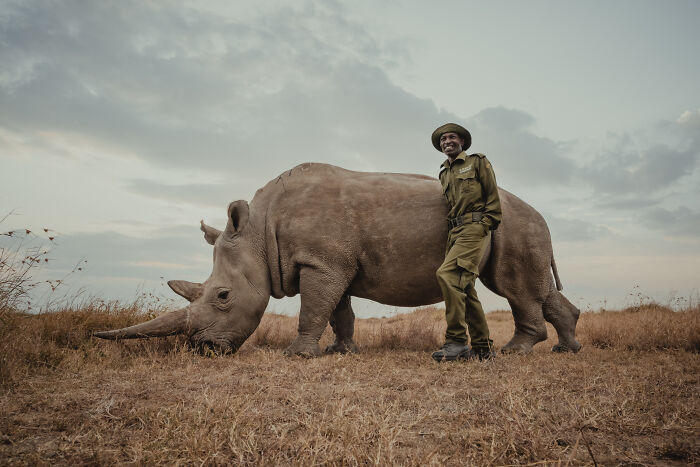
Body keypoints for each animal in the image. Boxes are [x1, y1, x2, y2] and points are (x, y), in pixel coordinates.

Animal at [95, 162, 581, 356]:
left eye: (223, 296)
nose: (204, 351)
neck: (258, 233)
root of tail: (537, 212)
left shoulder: (322, 262)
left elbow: (313, 309)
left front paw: (297, 356)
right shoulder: (330, 263)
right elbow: (338, 311)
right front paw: (340, 351)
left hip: (512, 225)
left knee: (514, 287)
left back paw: (517, 351)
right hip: (519, 227)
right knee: (531, 287)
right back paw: (565, 348)